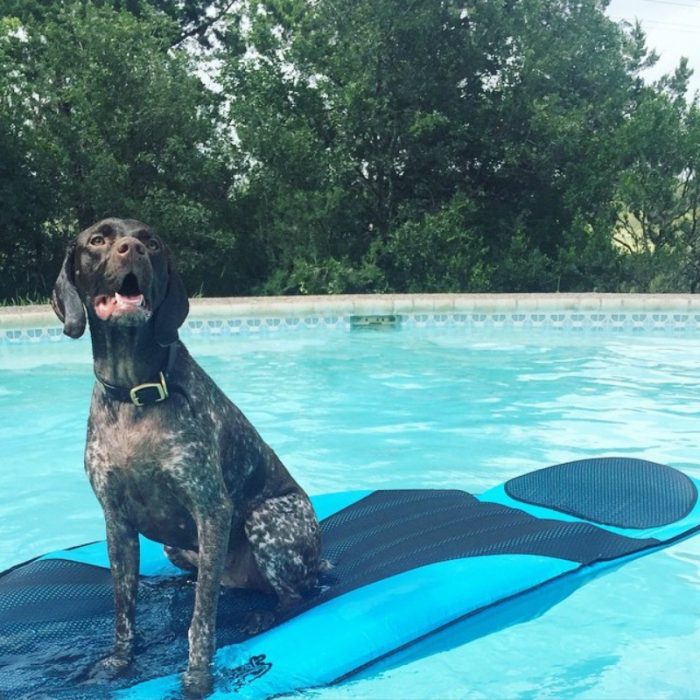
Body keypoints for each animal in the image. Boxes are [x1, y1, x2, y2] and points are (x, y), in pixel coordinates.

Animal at [52, 217, 322, 696]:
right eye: (98, 240)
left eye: (153, 242)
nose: (133, 249)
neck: (136, 395)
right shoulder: (116, 522)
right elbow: (123, 613)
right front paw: (118, 663)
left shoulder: (211, 508)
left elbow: (201, 620)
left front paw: (197, 676)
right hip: (177, 546)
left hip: (268, 520)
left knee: (297, 596)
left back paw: (264, 616)